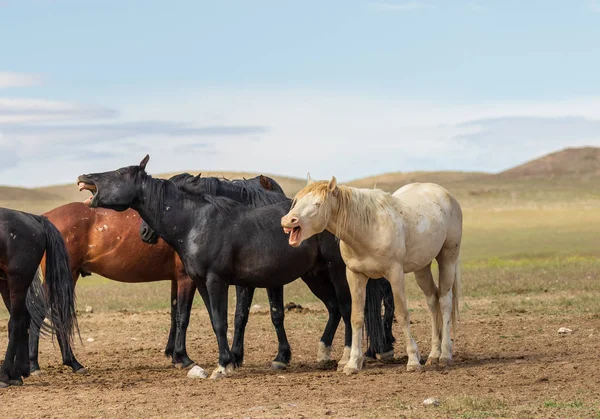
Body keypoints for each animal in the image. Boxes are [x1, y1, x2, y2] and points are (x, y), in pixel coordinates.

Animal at [0, 208, 78, 388]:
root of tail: (33, 218)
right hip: (5, 281)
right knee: (23, 320)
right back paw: (19, 373)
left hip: (17, 280)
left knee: (16, 323)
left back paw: (6, 375)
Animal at [29, 203, 197, 374]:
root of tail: (45, 218)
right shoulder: (186, 278)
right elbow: (183, 317)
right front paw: (184, 358)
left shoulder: (176, 279)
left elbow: (174, 315)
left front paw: (174, 356)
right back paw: (57, 364)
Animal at [76, 156, 394, 378]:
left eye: (120, 173)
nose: (83, 176)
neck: (196, 222)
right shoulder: (202, 282)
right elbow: (215, 320)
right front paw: (228, 361)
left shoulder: (218, 280)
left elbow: (224, 320)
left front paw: (222, 366)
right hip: (314, 275)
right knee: (334, 307)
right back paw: (325, 352)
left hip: (337, 272)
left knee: (347, 307)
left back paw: (346, 357)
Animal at [282, 176, 464, 376]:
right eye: (298, 201)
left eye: (317, 203)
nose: (288, 220)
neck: (368, 229)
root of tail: (444, 194)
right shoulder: (355, 275)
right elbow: (356, 317)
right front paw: (352, 363)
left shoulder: (395, 274)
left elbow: (402, 314)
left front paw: (413, 360)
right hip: (422, 267)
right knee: (432, 300)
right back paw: (434, 354)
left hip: (448, 257)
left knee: (445, 300)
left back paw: (445, 355)